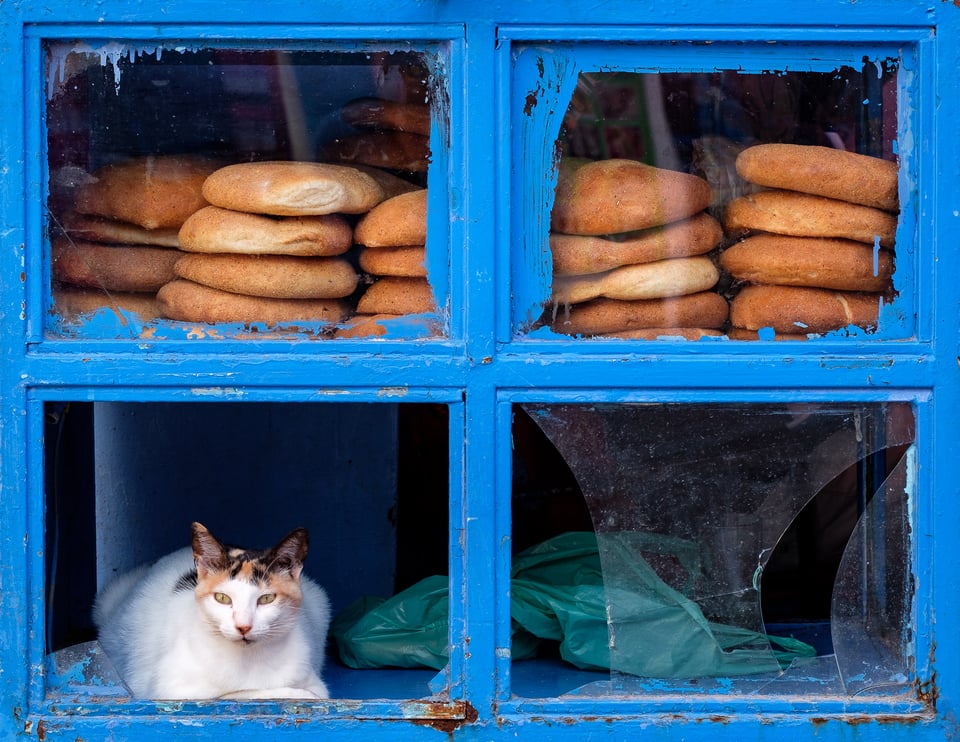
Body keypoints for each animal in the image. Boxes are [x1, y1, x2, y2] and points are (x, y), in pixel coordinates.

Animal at [94, 520, 332, 700]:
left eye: (266, 599)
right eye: (222, 598)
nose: (243, 626)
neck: (247, 660)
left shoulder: (317, 684)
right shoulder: (169, 690)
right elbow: (235, 694)